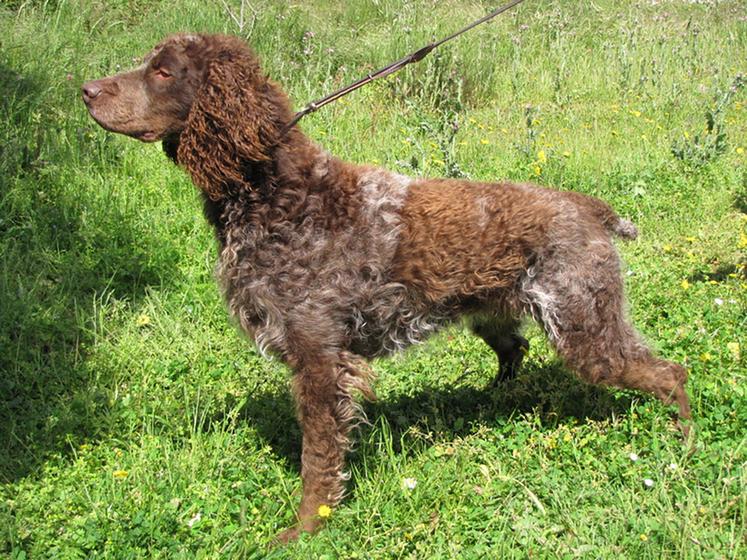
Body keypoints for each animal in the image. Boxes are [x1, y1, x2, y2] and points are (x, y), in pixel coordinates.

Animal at [82, 32, 688, 540]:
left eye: (163, 71)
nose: (85, 90)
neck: (275, 194)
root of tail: (589, 207)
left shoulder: (321, 361)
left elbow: (319, 461)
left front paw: (307, 528)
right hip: (497, 313)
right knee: (515, 350)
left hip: (585, 328)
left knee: (670, 374)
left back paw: (681, 444)